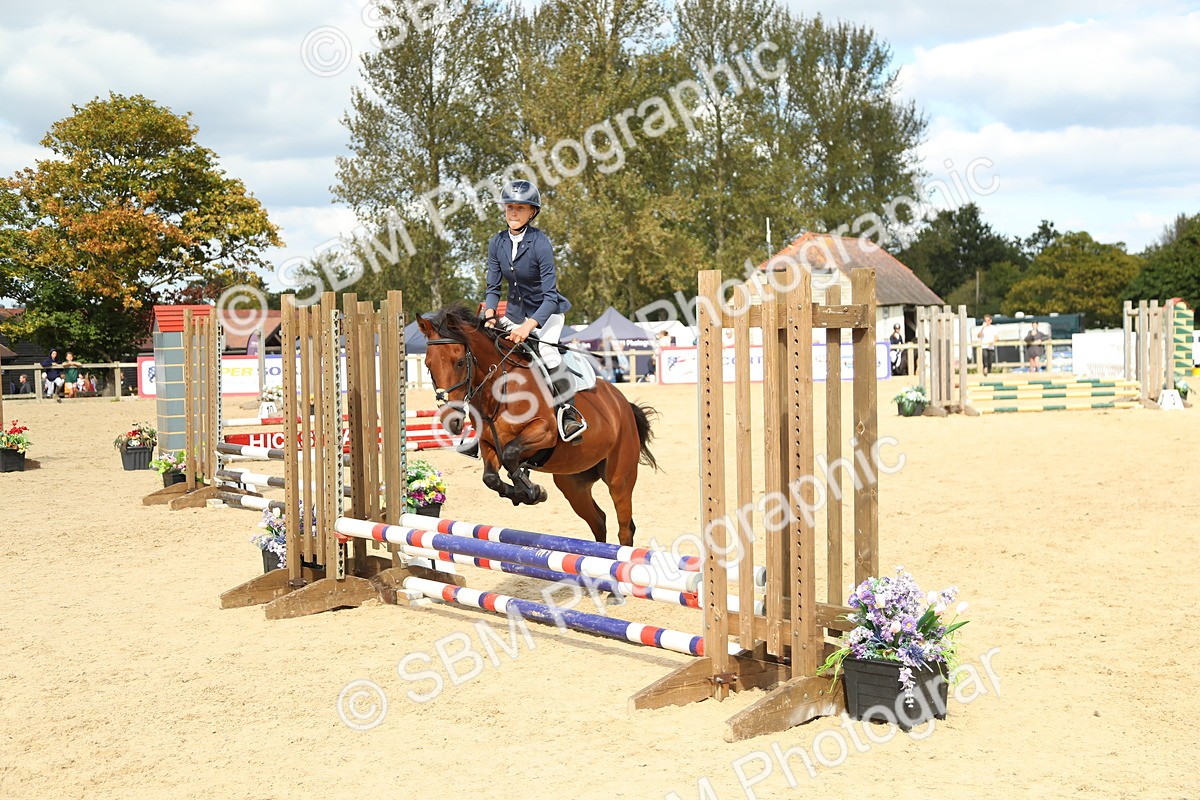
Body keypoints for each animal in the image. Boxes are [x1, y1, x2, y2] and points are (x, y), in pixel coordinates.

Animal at [417, 305, 657, 548]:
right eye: (428, 365)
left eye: (459, 362)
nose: (452, 420)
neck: (500, 386)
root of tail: (622, 403)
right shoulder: (488, 443)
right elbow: (491, 477)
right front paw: (522, 492)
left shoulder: (545, 432)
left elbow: (511, 453)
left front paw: (531, 490)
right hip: (573, 483)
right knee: (599, 521)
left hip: (620, 479)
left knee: (624, 528)